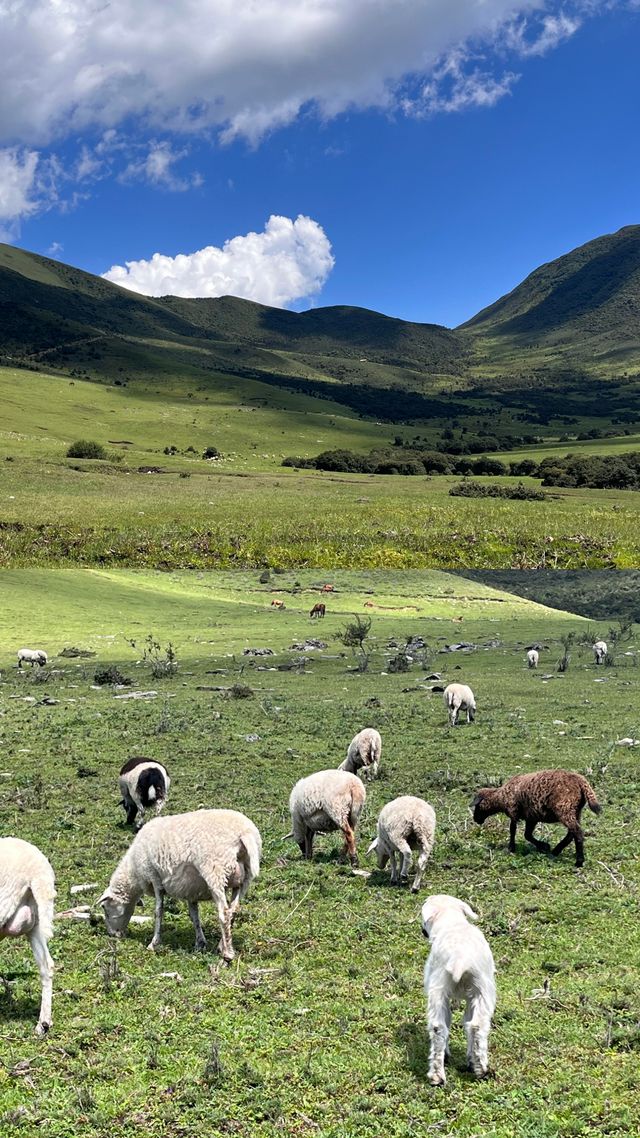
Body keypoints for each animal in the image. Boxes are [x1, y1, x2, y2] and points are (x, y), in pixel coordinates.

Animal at [98, 810, 260, 960]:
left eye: (104, 908)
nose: (112, 934)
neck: (134, 872)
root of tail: (244, 833)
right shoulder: (192, 890)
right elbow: (194, 916)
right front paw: (200, 943)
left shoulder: (155, 877)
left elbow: (158, 911)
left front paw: (153, 943)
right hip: (242, 879)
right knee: (233, 910)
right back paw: (223, 945)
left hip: (215, 871)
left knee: (224, 913)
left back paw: (228, 953)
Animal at [421, 892, 496, 1087]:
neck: (452, 922)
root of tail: (459, 958)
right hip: (481, 990)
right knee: (473, 1026)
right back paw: (478, 1068)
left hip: (441, 989)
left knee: (441, 1026)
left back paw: (439, 1075)